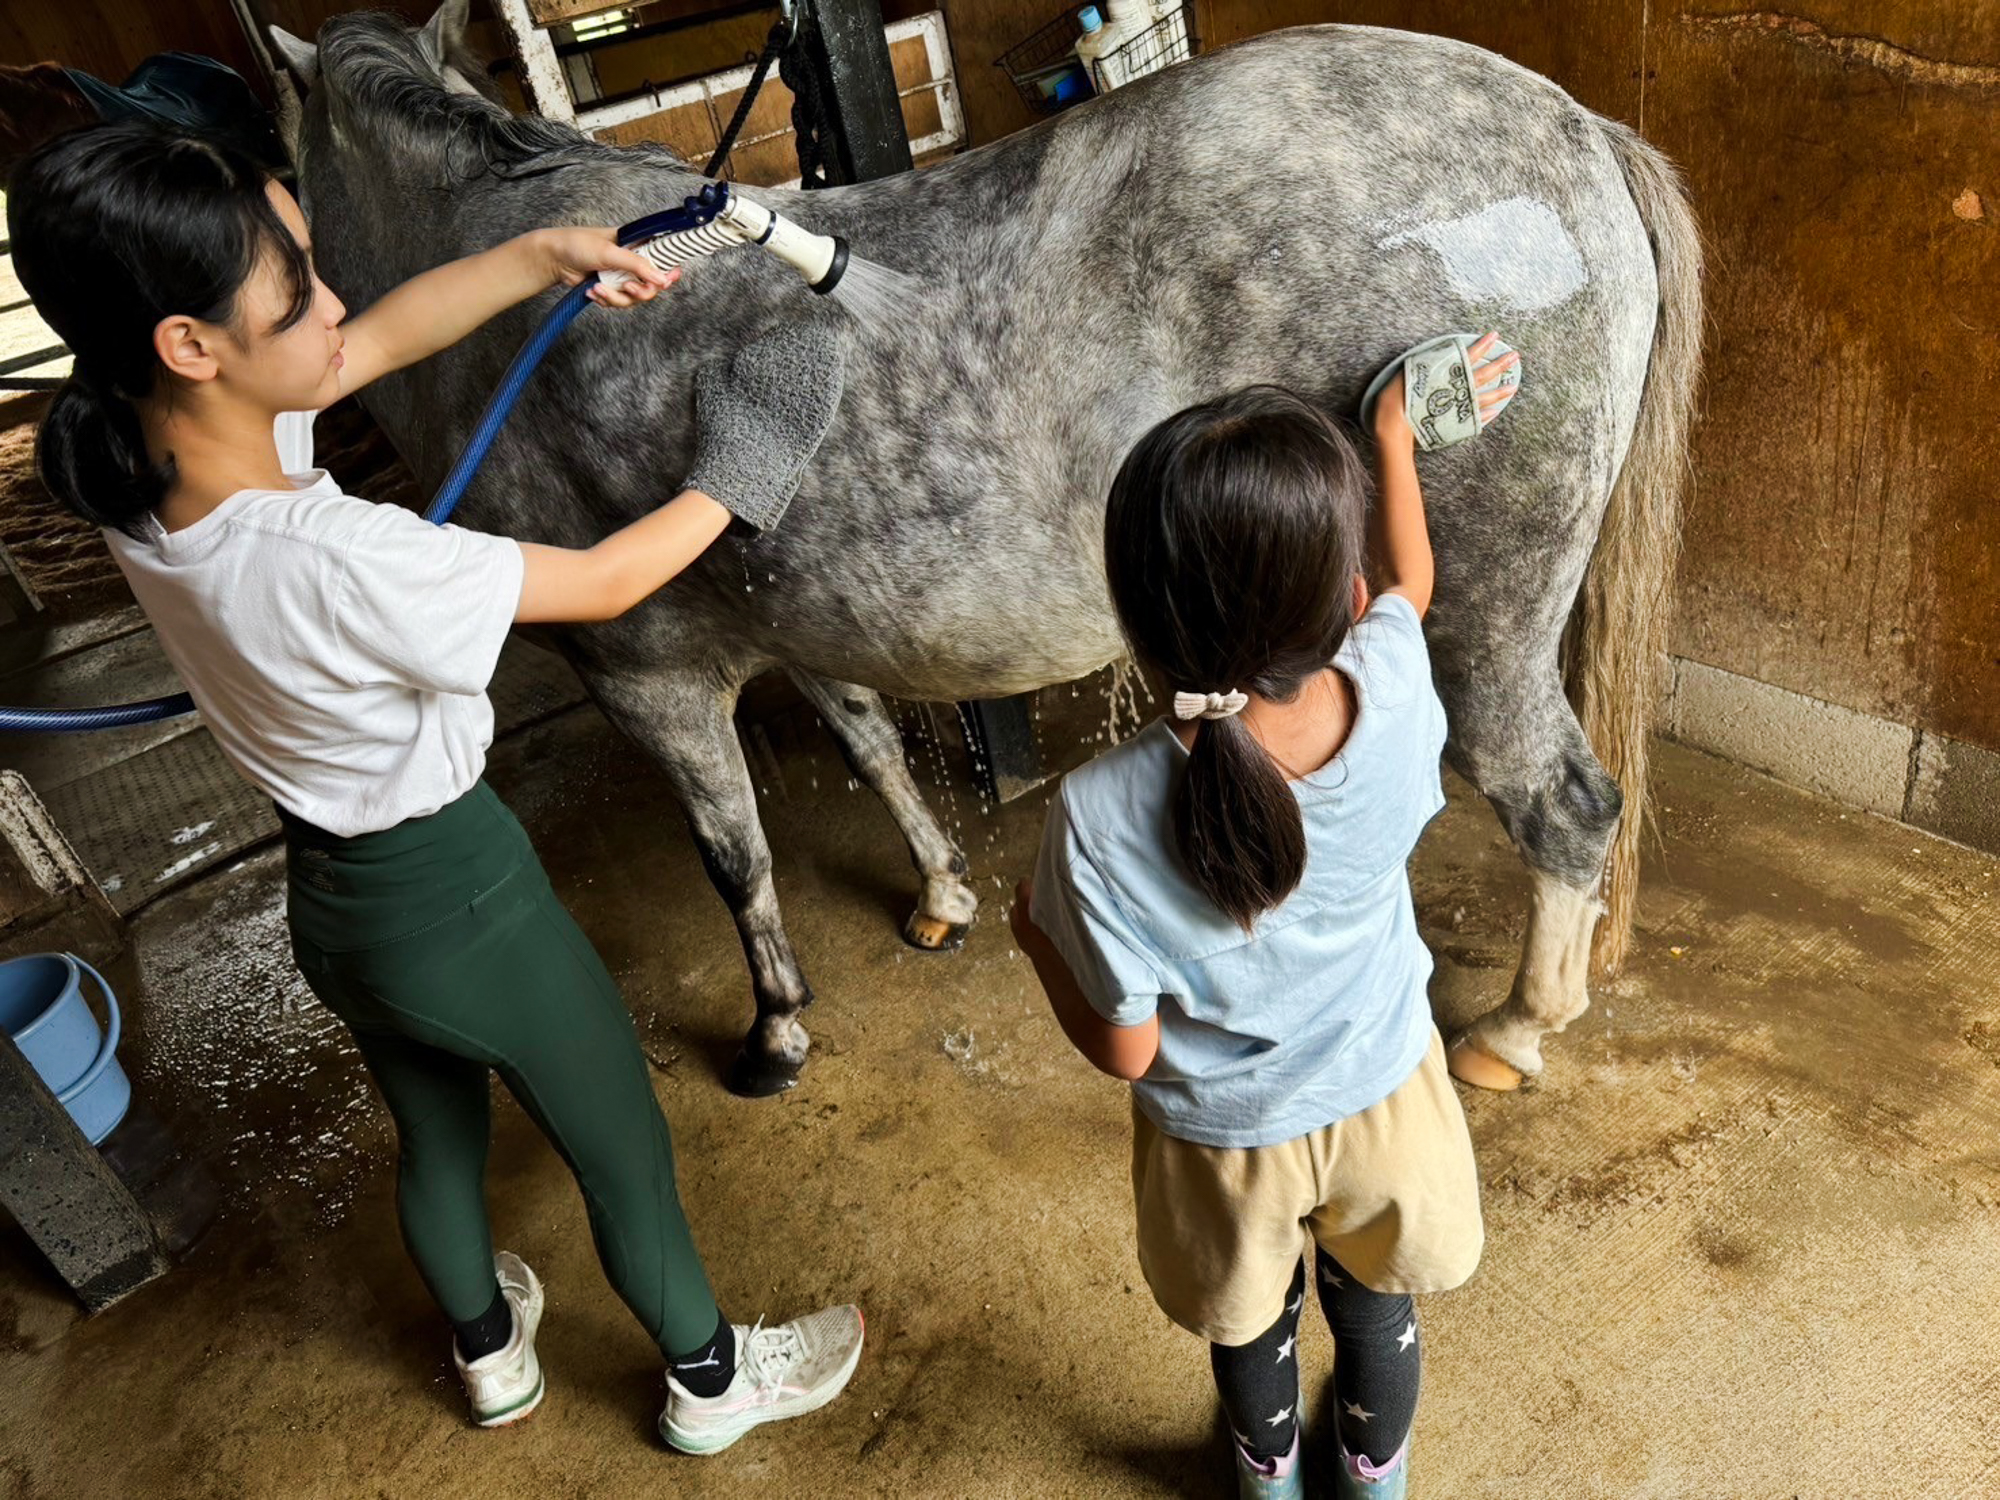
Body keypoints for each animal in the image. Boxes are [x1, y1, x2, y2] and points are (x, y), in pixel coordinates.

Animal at [270, 5, 1704, 1096]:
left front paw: (775, 1029)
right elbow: (866, 742)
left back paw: (1514, 1030)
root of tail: (1574, 133)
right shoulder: (789, 612)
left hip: (1479, 620)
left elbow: (735, 858)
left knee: (1562, 807)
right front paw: (939, 896)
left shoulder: (648, 676)